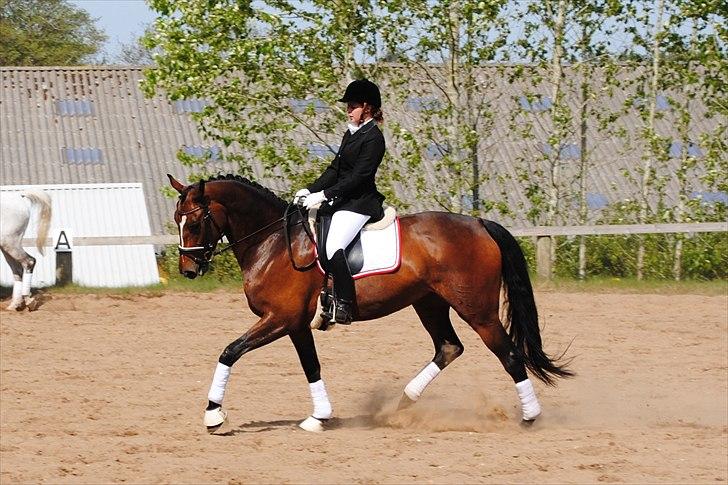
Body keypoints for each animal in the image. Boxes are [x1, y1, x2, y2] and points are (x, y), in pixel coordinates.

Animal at [168, 173, 572, 432]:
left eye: (195, 223)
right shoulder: (295, 324)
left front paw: (214, 415)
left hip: (478, 311)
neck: (273, 242)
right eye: (177, 220)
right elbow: (311, 366)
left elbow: (230, 351)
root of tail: (478, 223)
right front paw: (319, 416)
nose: (188, 269)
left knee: (509, 355)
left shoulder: (280, 318)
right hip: (429, 303)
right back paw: (401, 404)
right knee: (448, 347)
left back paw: (530, 417)